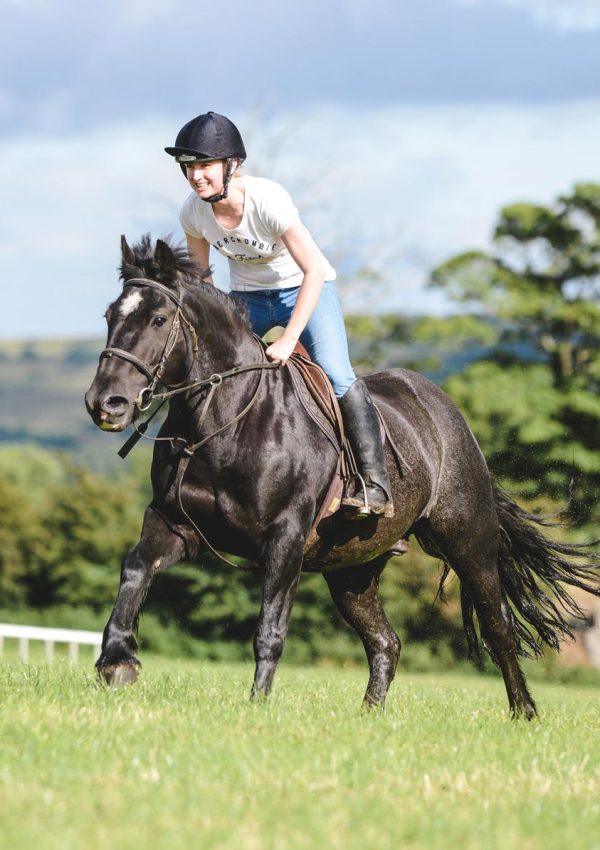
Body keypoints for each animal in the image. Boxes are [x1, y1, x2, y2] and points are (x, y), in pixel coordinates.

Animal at [85, 234, 600, 719]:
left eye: (157, 320)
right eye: (110, 315)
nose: (104, 403)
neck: (222, 421)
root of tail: (447, 412)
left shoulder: (286, 539)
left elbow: (270, 629)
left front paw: (258, 706)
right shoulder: (175, 523)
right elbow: (136, 569)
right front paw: (117, 662)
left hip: (468, 543)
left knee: (498, 626)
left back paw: (524, 712)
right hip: (352, 569)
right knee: (386, 642)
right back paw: (370, 717)